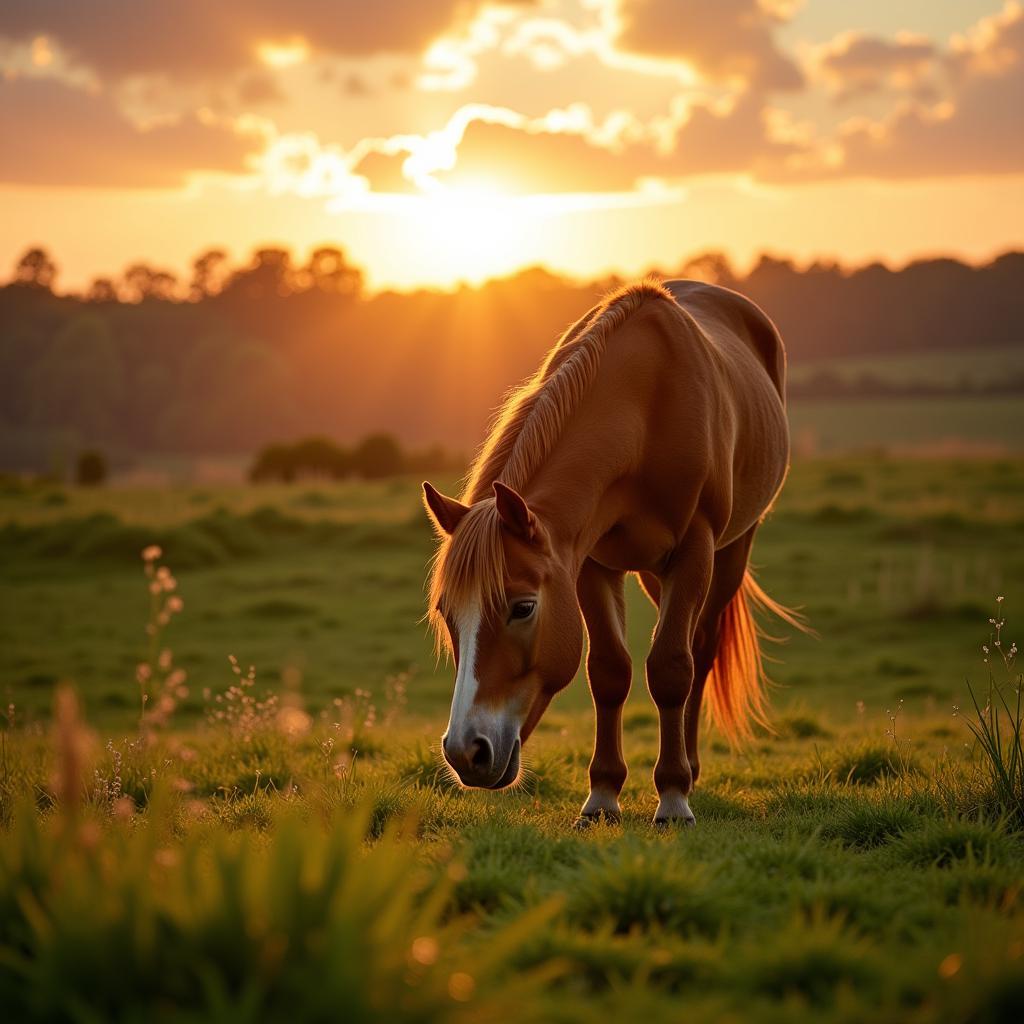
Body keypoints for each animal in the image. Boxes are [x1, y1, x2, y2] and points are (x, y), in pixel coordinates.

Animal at [419, 278, 794, 823]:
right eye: (447, 613)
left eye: (523, 608)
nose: (466, 752)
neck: (644, 410)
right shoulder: (588, 564)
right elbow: (609, 671)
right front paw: (602, 794)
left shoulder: (695, 549)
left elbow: (671, 667)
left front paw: (673, 796)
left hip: (730, 553)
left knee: (700, 650)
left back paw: (692, 769)